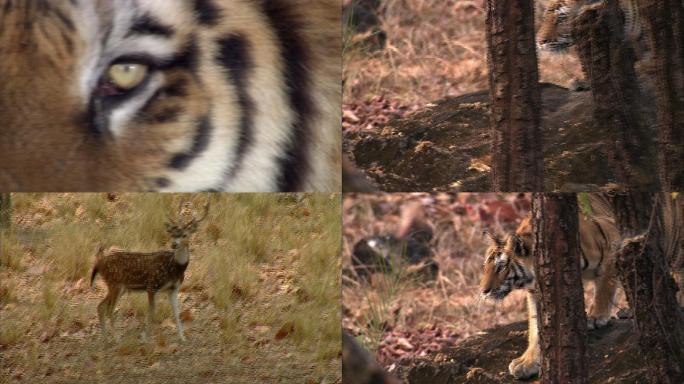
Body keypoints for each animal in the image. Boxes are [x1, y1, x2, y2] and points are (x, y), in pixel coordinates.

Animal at [91, 200, 208, 344]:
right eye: (172, 234)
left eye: (184, 234)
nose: (174, 244)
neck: (174, 267)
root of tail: (99, 263)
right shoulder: (152, 285)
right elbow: (151, 312)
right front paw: (146, 338)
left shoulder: (173, 289)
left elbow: (176, 312)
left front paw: (183, 338)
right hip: (115, 284)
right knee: (109, 310)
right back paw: (116, 339)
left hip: (118, 287)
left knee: (100, 307)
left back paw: (106, 339)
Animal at [480, 194, 620, 380]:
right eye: (485, 268)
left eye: (501, 267)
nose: (483, 291)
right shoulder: (536, 292)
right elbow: (536, 327)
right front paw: (527, 362)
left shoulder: (612, 245)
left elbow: (605, 288)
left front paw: (596, 316)